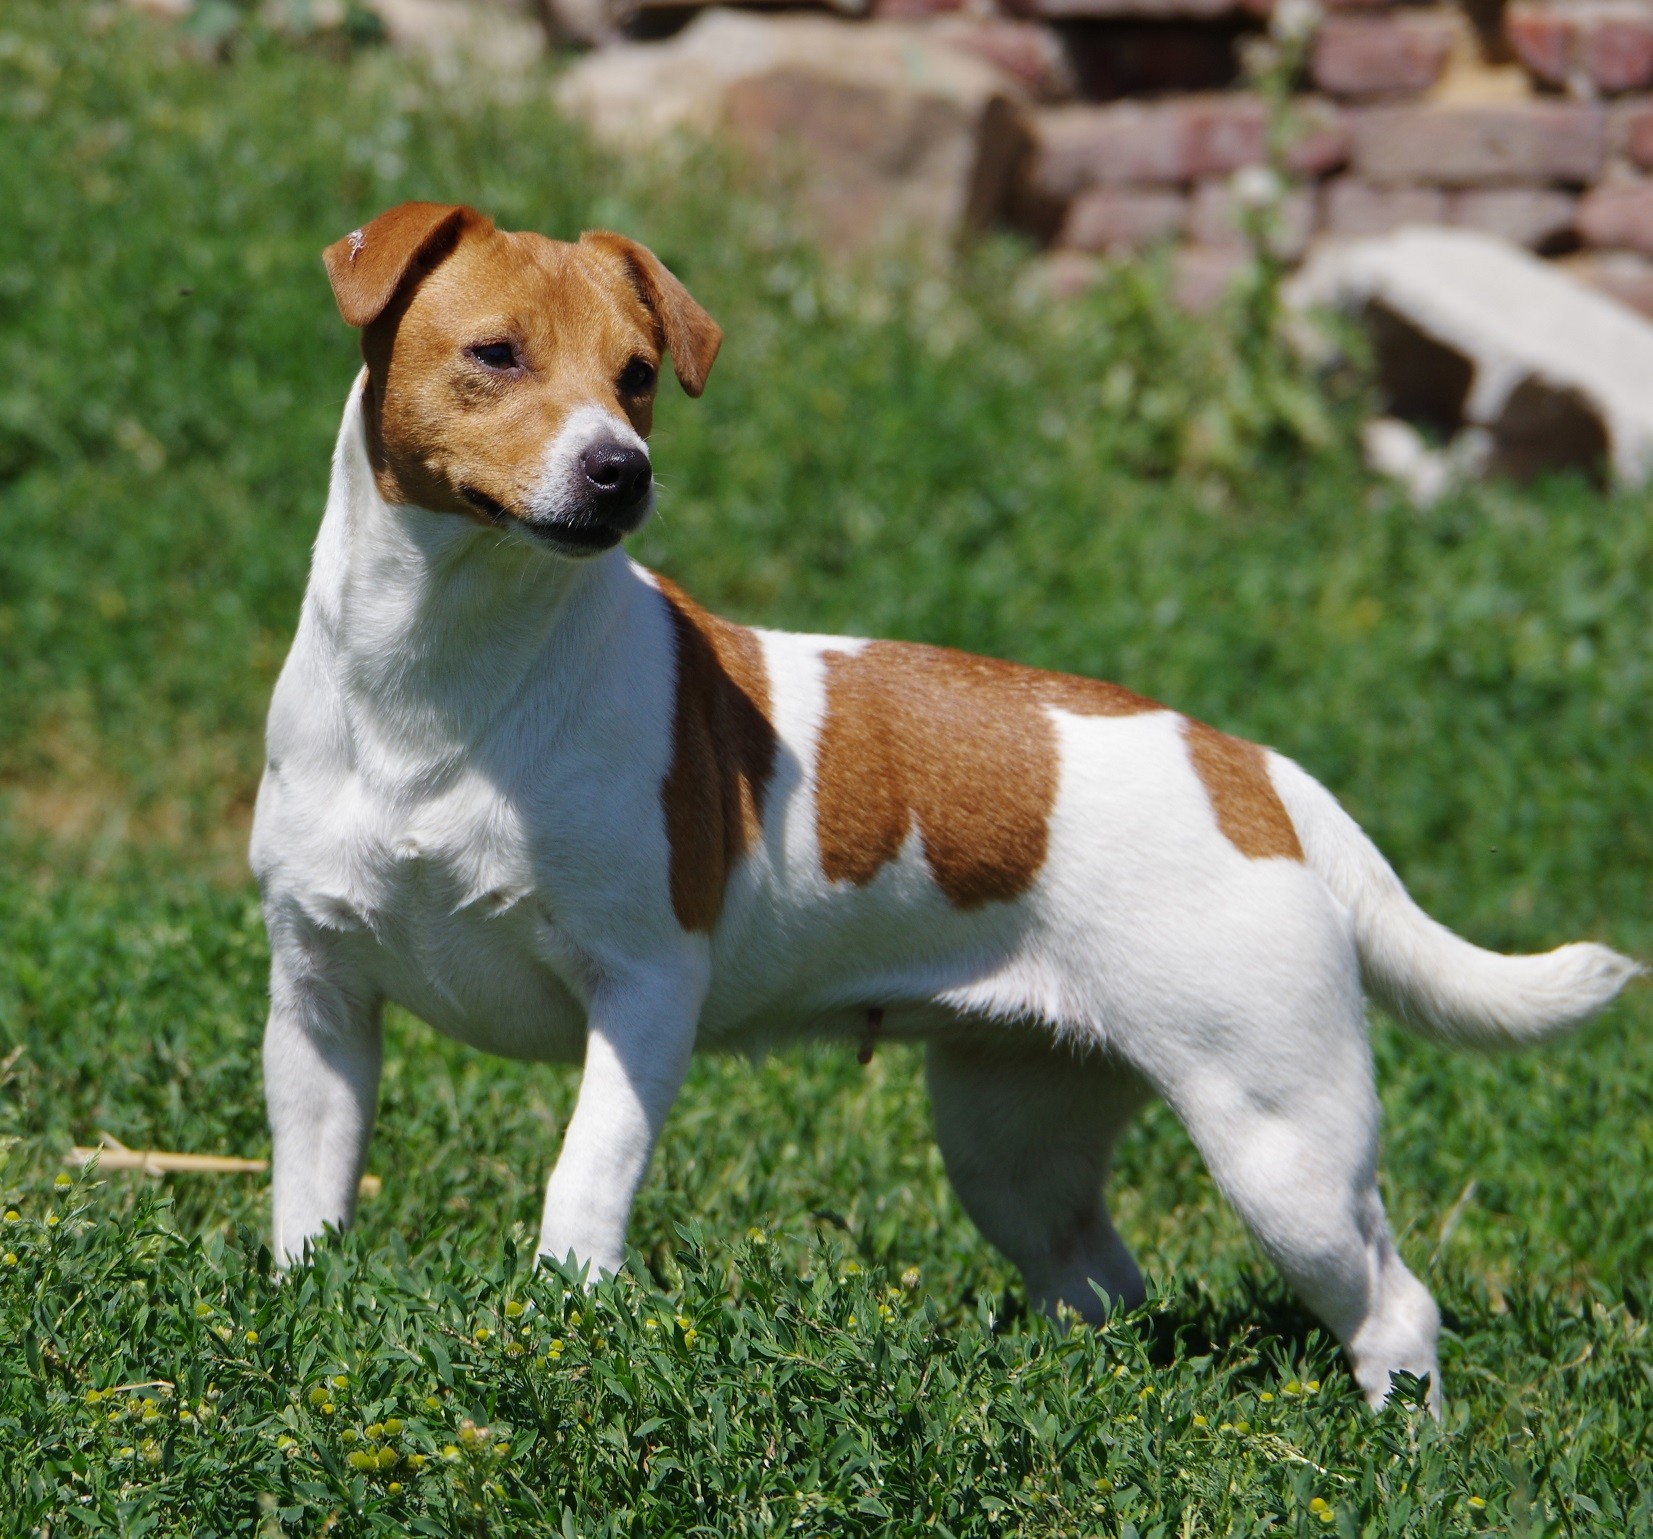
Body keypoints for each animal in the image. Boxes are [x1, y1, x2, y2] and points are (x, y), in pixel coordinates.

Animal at [254, 201, 1639, 1408]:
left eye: (639, 375)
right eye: (495, 354)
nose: (620, 471)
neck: (441, 684)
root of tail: (1246, 765)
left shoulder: (640, 993)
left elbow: (585, 1176)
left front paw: (564, 1321)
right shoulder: (317, 996)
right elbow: (310, 1188)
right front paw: (300, 1304)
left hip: (1282, 1140)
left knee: (1392, 1301)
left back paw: (1404, 1444)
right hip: (1012, 1136)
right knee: (1100, 1280)